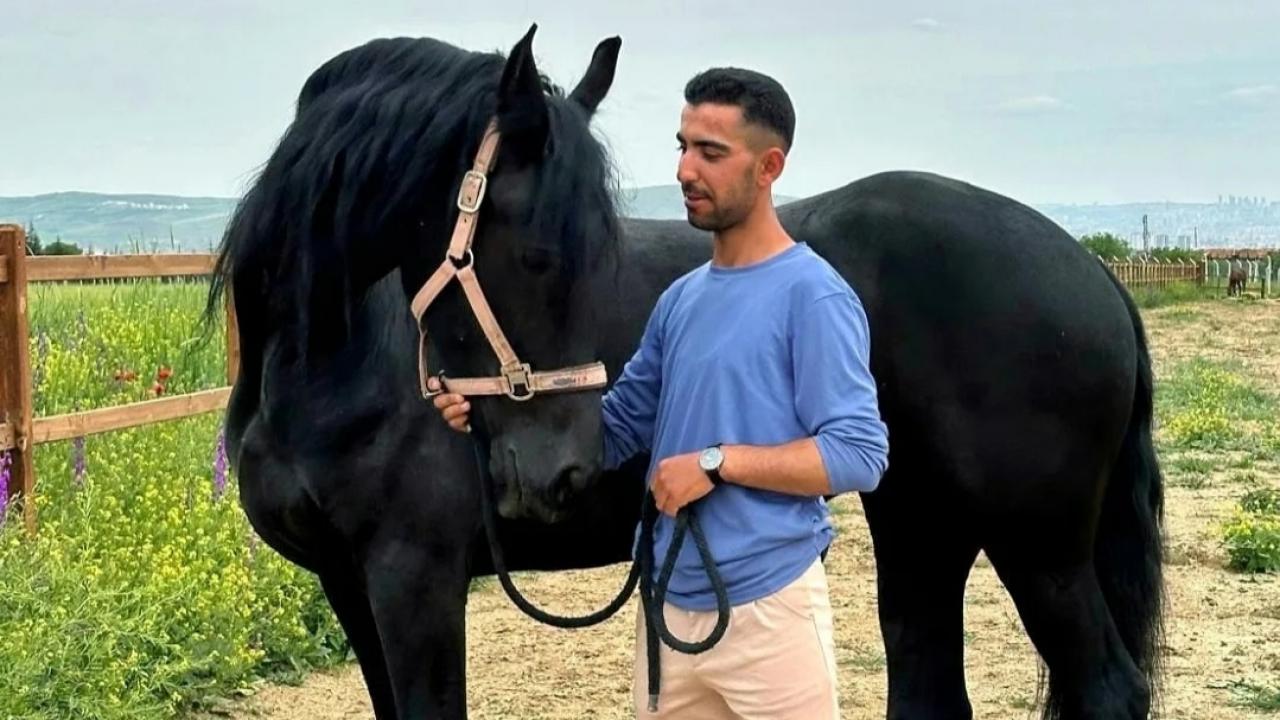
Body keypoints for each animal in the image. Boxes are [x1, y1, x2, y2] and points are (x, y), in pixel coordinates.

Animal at [205, 26, 1166, 720]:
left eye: (593, 253)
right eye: (542, 254)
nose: (558, 476)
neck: (327, 363)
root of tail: (1091, 271)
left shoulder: (416, 582)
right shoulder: (348, 583)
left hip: (1039, 547)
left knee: (1107, 689)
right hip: (923, 520)